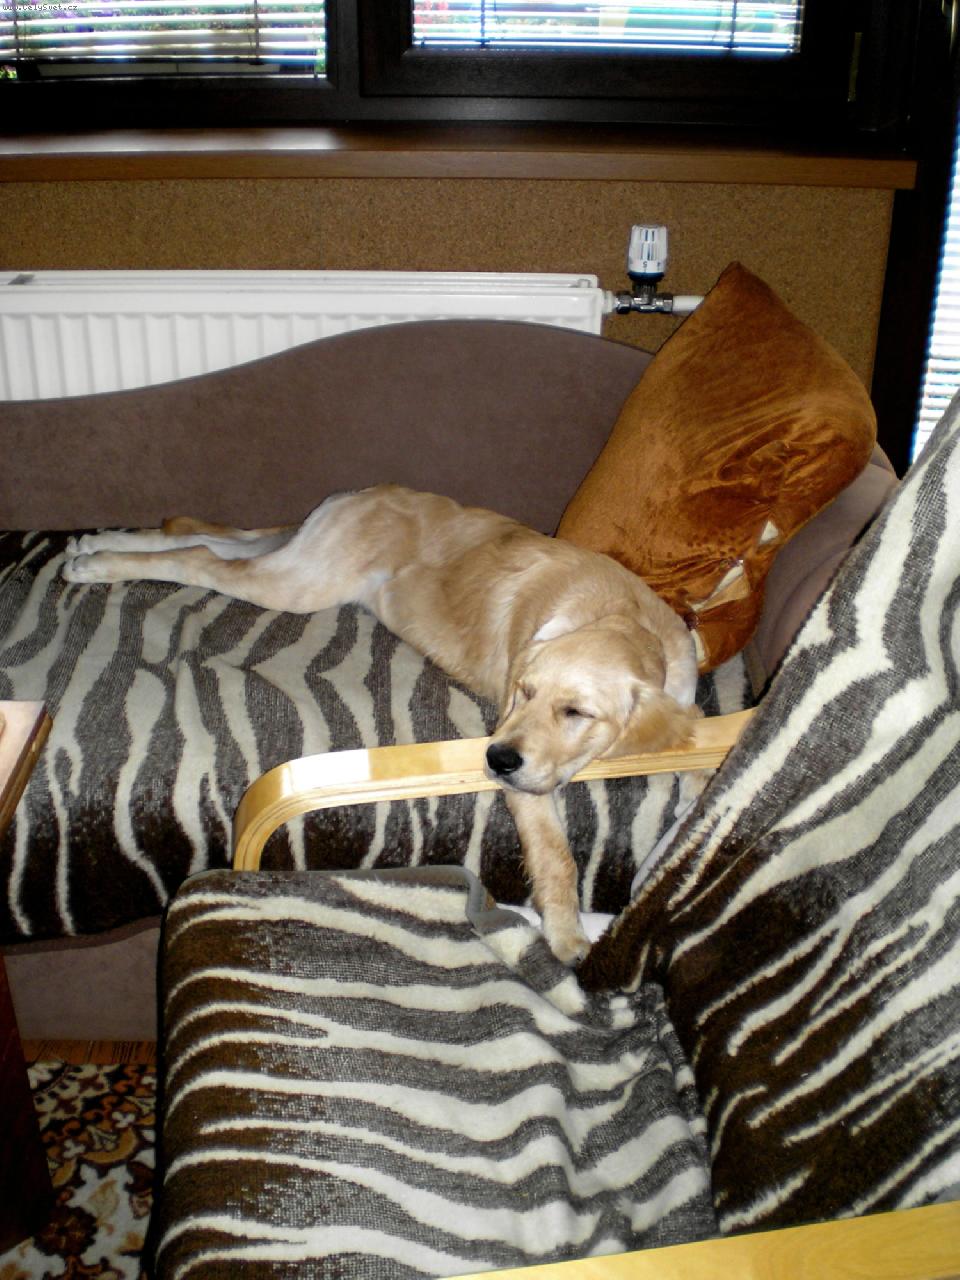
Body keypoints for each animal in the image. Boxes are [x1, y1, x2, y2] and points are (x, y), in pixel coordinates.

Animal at [62, 484, 700, 964]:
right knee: (203, 558)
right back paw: (95, 567)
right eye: (525, 693)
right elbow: (556, 853)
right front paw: (567, 935)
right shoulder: (522, 773)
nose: (494, 760)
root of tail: (361, 494)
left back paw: (94, 544)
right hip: (299, 580)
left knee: (208, 536)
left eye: (577, 713)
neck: (619, 618)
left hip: (292, 555)